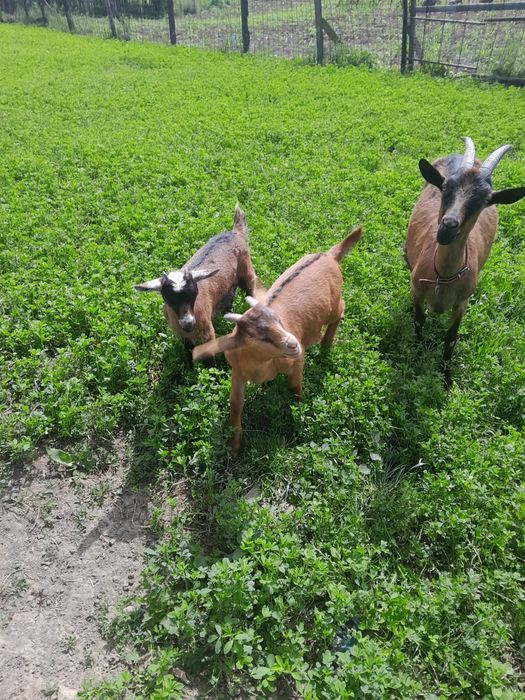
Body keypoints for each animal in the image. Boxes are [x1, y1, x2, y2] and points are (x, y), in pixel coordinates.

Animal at [134, 205, 261, 361]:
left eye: (195, 294)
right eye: (167, 298)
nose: (189, 324)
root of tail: (234, 232)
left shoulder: (207, 331)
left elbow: (208, 356)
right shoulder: (183, 336)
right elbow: (188, 352)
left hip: (247, 270)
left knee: (250, 288)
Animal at [193, 226, 363, 455]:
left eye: (279, 321)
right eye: (260, 337)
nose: (294, 344)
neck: (260, 365)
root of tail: (329, 255)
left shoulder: (296, 362)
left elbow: (294, 386)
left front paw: (299, 408)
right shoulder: (238, 372)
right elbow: (236, 404)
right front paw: (234, 446)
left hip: (333, 305)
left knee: (341, 309)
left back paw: (326, 344)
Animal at [405, 137, 525, 388]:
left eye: (485, 199)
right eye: (445, 187)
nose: (448, 226)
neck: (443, 276)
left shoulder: (462, 301)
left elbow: (451, 338)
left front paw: (446, 379)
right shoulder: (416, 290)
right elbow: (419, 324)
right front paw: (417, 358)